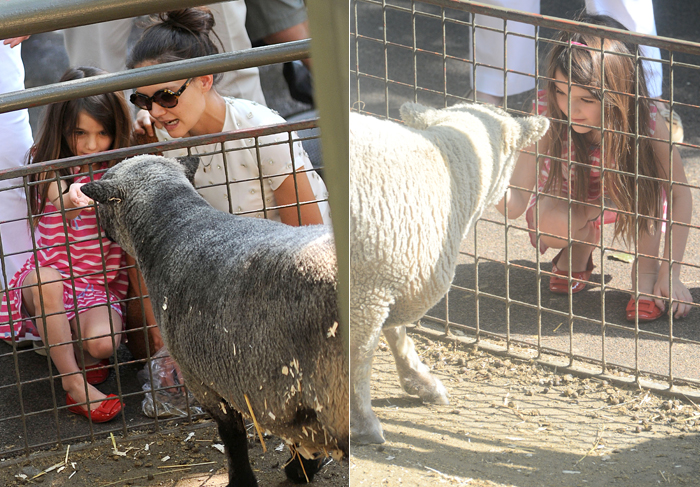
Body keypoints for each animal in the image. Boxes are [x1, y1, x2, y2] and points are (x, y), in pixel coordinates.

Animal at [350, 103, 548, 446]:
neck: (446, 168)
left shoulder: (392, 276)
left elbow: (396, 332)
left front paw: (421, 382)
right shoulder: (369, 287)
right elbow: (359, 356)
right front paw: (364, 424)